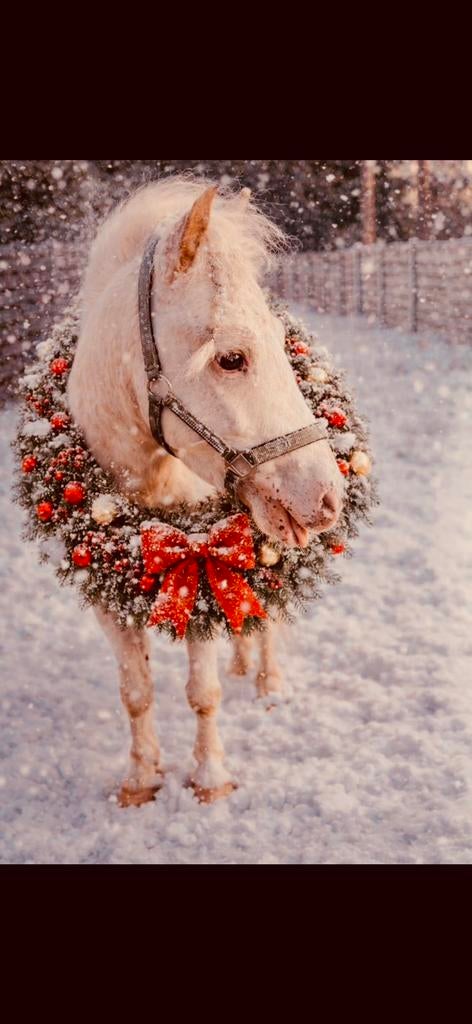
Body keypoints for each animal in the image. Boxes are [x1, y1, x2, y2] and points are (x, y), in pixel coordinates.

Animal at [67, 177, 344, 807]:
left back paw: (267, 684)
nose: (327, 499)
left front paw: (211, 780)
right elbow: (136, 690)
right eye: (231, 358)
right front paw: (141, 781)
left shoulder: (199, 562)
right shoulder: (103, 591)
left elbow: (203, 693)